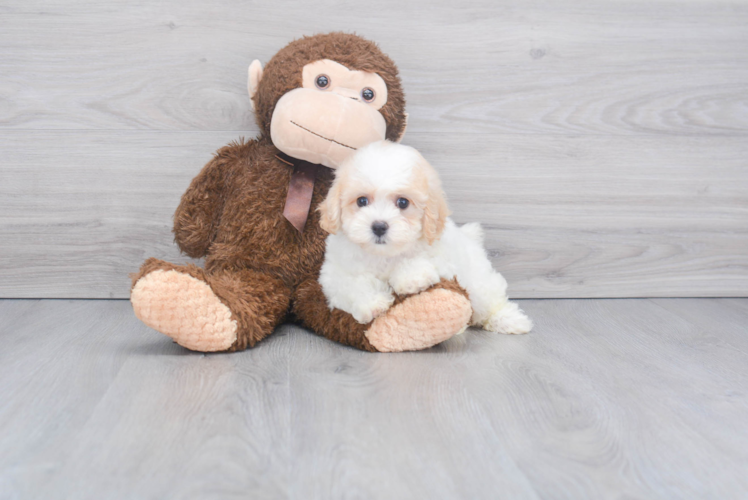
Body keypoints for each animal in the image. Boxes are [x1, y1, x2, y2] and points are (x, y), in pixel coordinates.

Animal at [318, 141, 532, 336]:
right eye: (362, 201)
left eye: (403, 203)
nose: (379, 226)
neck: (384, 255)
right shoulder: (333, 273)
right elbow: (350, 284)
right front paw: (372, 303)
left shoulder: (444, 255)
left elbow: (423, 260)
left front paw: (410, 278)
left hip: (478, 282)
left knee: (490, 300)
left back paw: (510, 320)